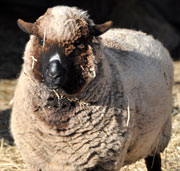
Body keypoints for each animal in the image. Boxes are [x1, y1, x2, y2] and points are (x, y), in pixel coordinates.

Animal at [10, 5, 174, 171]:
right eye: (40, 39)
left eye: (79, 42)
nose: (53, 74)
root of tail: (138, 32)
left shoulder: (103, 161)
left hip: (158, 137)